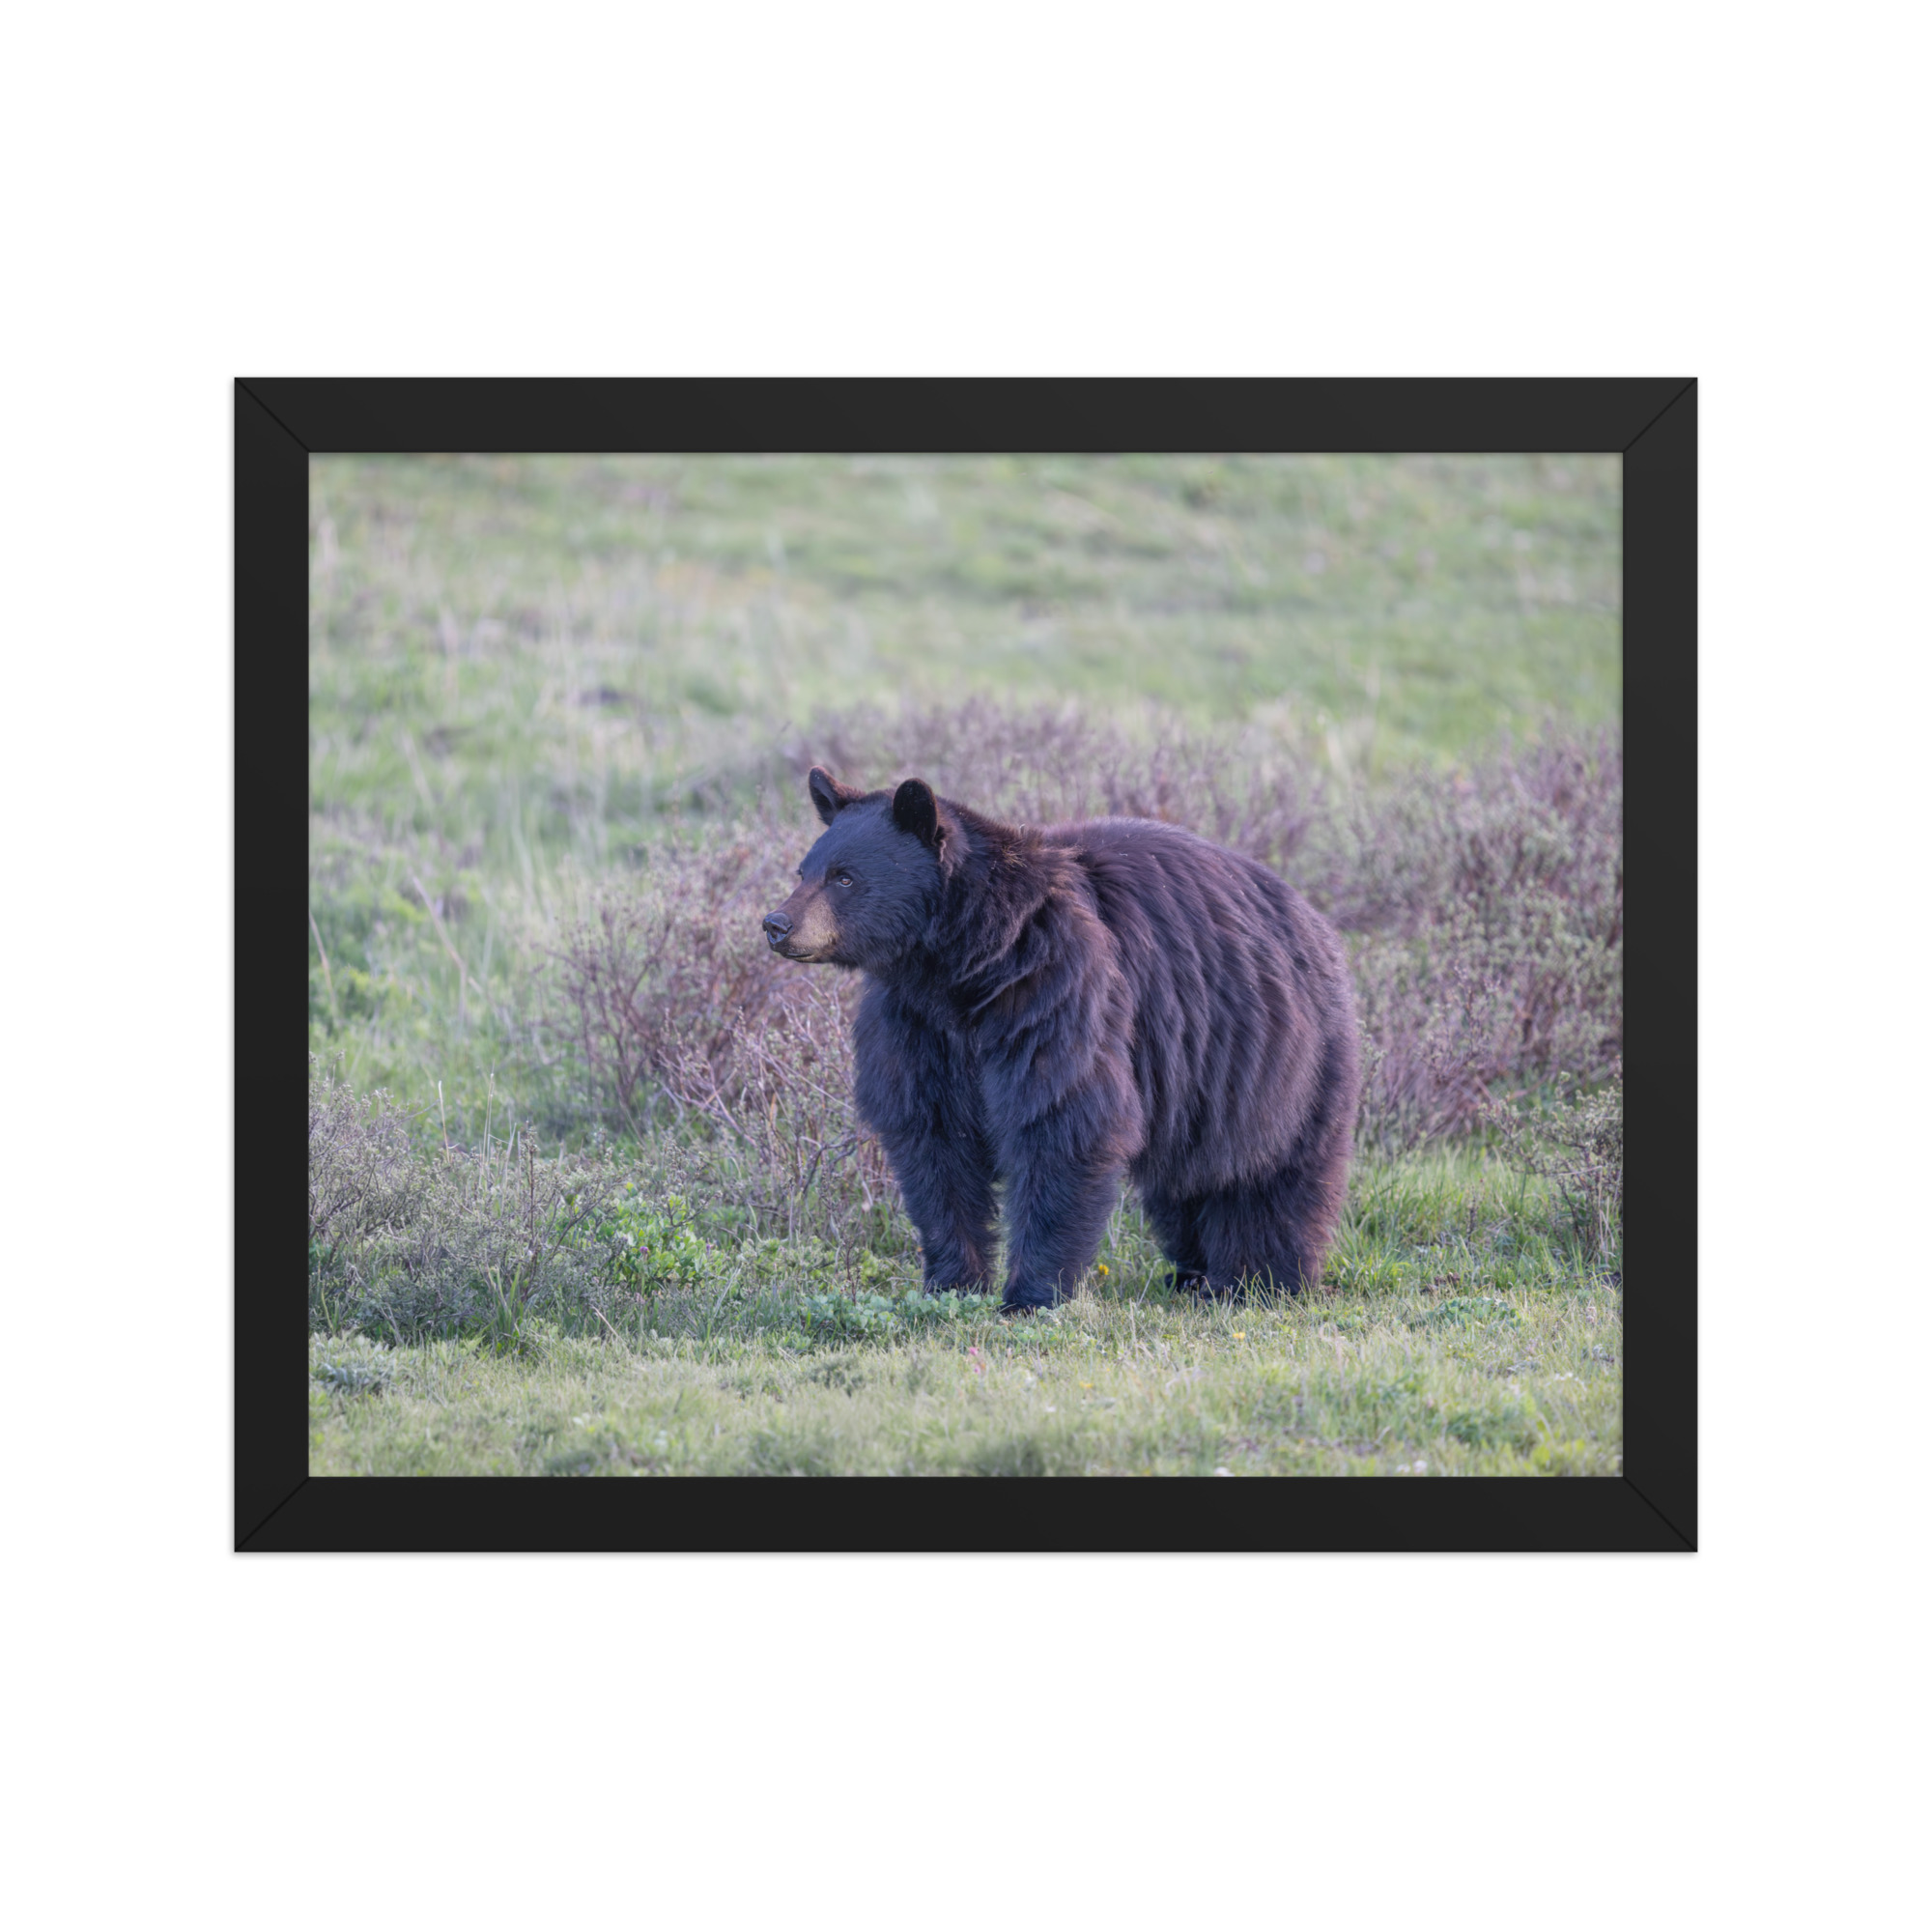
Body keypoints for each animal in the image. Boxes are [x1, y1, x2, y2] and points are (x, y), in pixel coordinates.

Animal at [762, 765, 1360, 1312]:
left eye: (844, 877)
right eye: (804, 869)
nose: (777, 923)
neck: (962, 965)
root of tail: (1314, 918)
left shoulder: (1055, 989)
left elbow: (1061, 1120)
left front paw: (1030, 1295)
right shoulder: (916, 1025)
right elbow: (933, 1140)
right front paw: (952, 1283)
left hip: (1280, 1057)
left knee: (1272, 1174)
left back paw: (1258, 1280)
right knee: (1187, 1181)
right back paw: (1192, 1274)